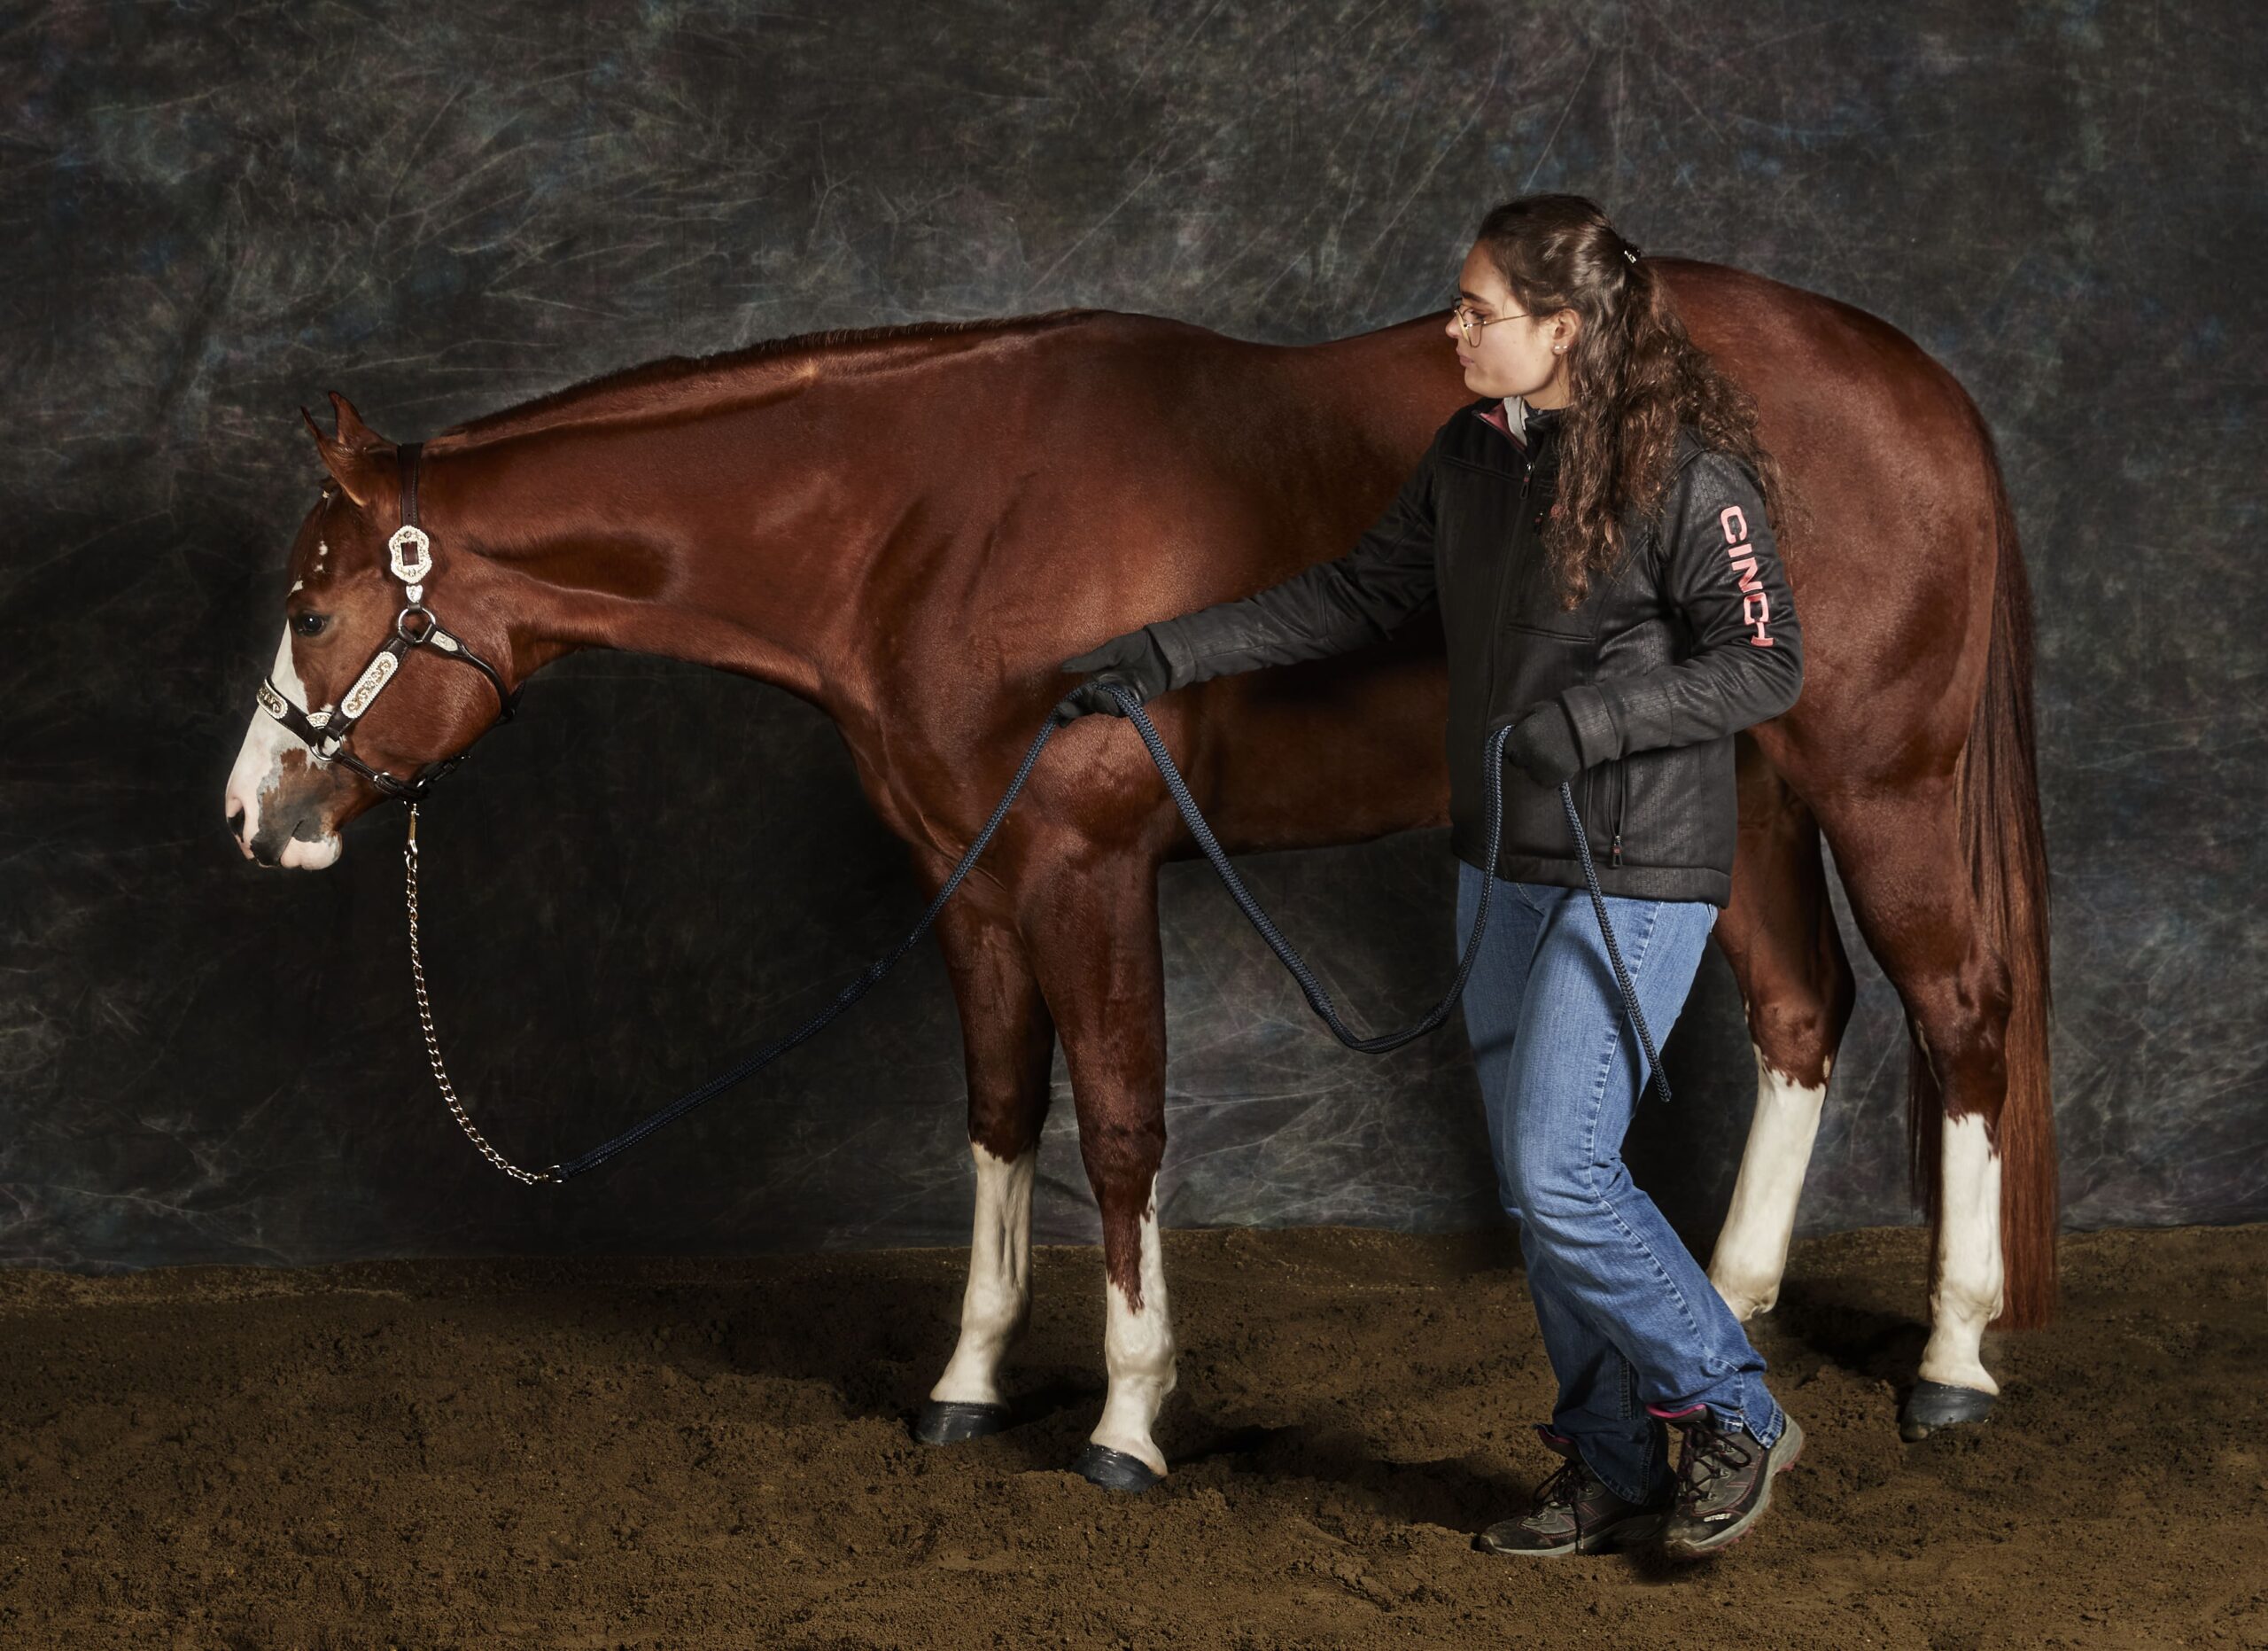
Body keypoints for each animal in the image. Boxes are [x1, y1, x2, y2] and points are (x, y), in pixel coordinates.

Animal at [224, 258, 2056, 1484]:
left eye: (311, 605)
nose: (254, 816)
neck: (925, 515)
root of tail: (1919, 384)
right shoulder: (972, 882)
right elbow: (996, 1114)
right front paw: (966, 1384)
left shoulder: (1088, 869)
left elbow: (1116, 1126)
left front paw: (1123, 1410)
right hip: (1727, 793)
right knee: (1801, 1012)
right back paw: (1728, 1314)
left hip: (1877, 781)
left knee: (1960, 1009)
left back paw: (1952, 1359)